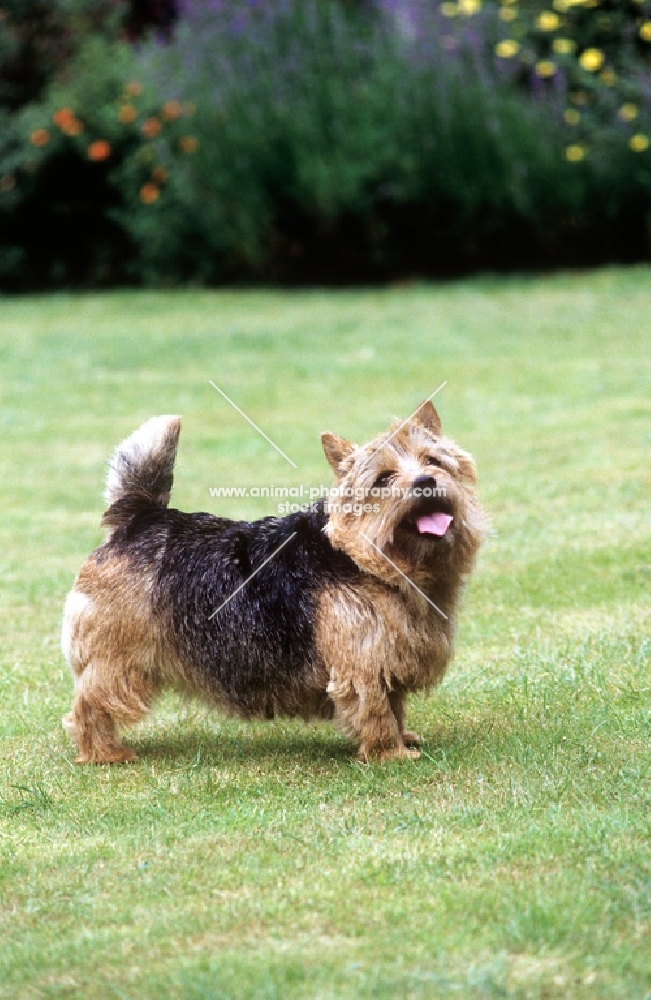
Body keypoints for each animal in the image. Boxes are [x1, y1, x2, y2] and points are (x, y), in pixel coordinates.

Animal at [62, 402, 484, 760]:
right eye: (383, 479)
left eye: (434, 461)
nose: (426, 480)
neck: (374, 563)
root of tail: (140, 519)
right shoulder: (360, 658)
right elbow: (375, 707)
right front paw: (390, 754)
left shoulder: (388, 651)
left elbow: (395, 702)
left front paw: (403, 737)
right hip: (118, 653)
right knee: (92, 700)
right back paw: (105, 753)